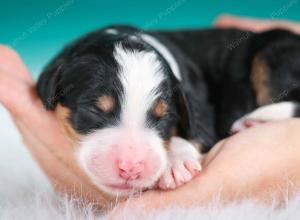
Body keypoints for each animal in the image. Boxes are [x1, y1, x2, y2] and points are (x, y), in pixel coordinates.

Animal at [37, 26, 300, 197]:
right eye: (94, 109)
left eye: (164, 117)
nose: (131, 168)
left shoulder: (202, 118)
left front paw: (176, 164)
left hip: (273, 55)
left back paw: (256, 120)